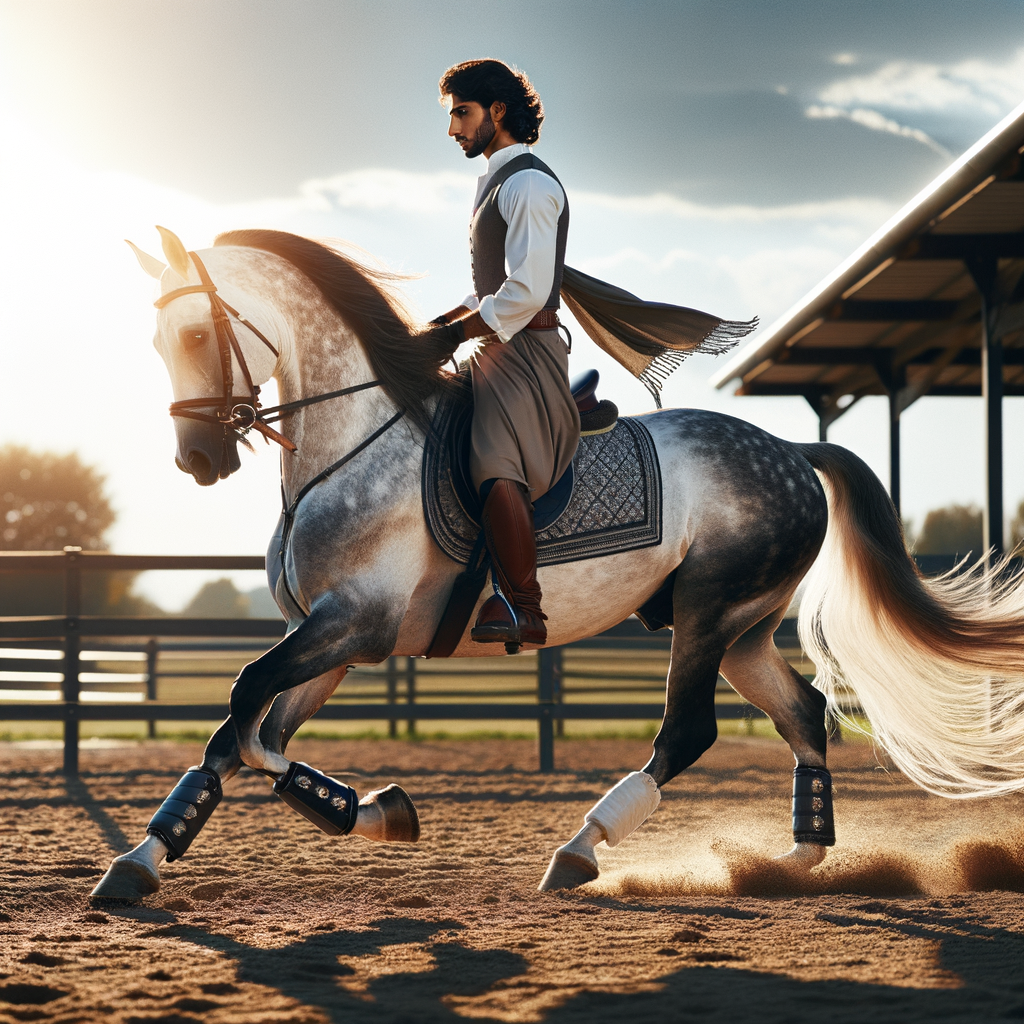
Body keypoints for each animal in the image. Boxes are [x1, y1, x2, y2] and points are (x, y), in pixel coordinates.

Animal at [92, 228, 1024, 901]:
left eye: (196, 331)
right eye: (155, 340)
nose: (198, 459)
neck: (351, 445)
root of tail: (794, 450)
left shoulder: (352, 626)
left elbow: (246, 711)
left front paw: (363, 808)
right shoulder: (330, 640)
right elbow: (245, 739)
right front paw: (150, 861)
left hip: (710, 613)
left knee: (689, 732)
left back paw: (581, 852)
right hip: (745, 632)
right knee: (804, 715)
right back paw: (789, 865)